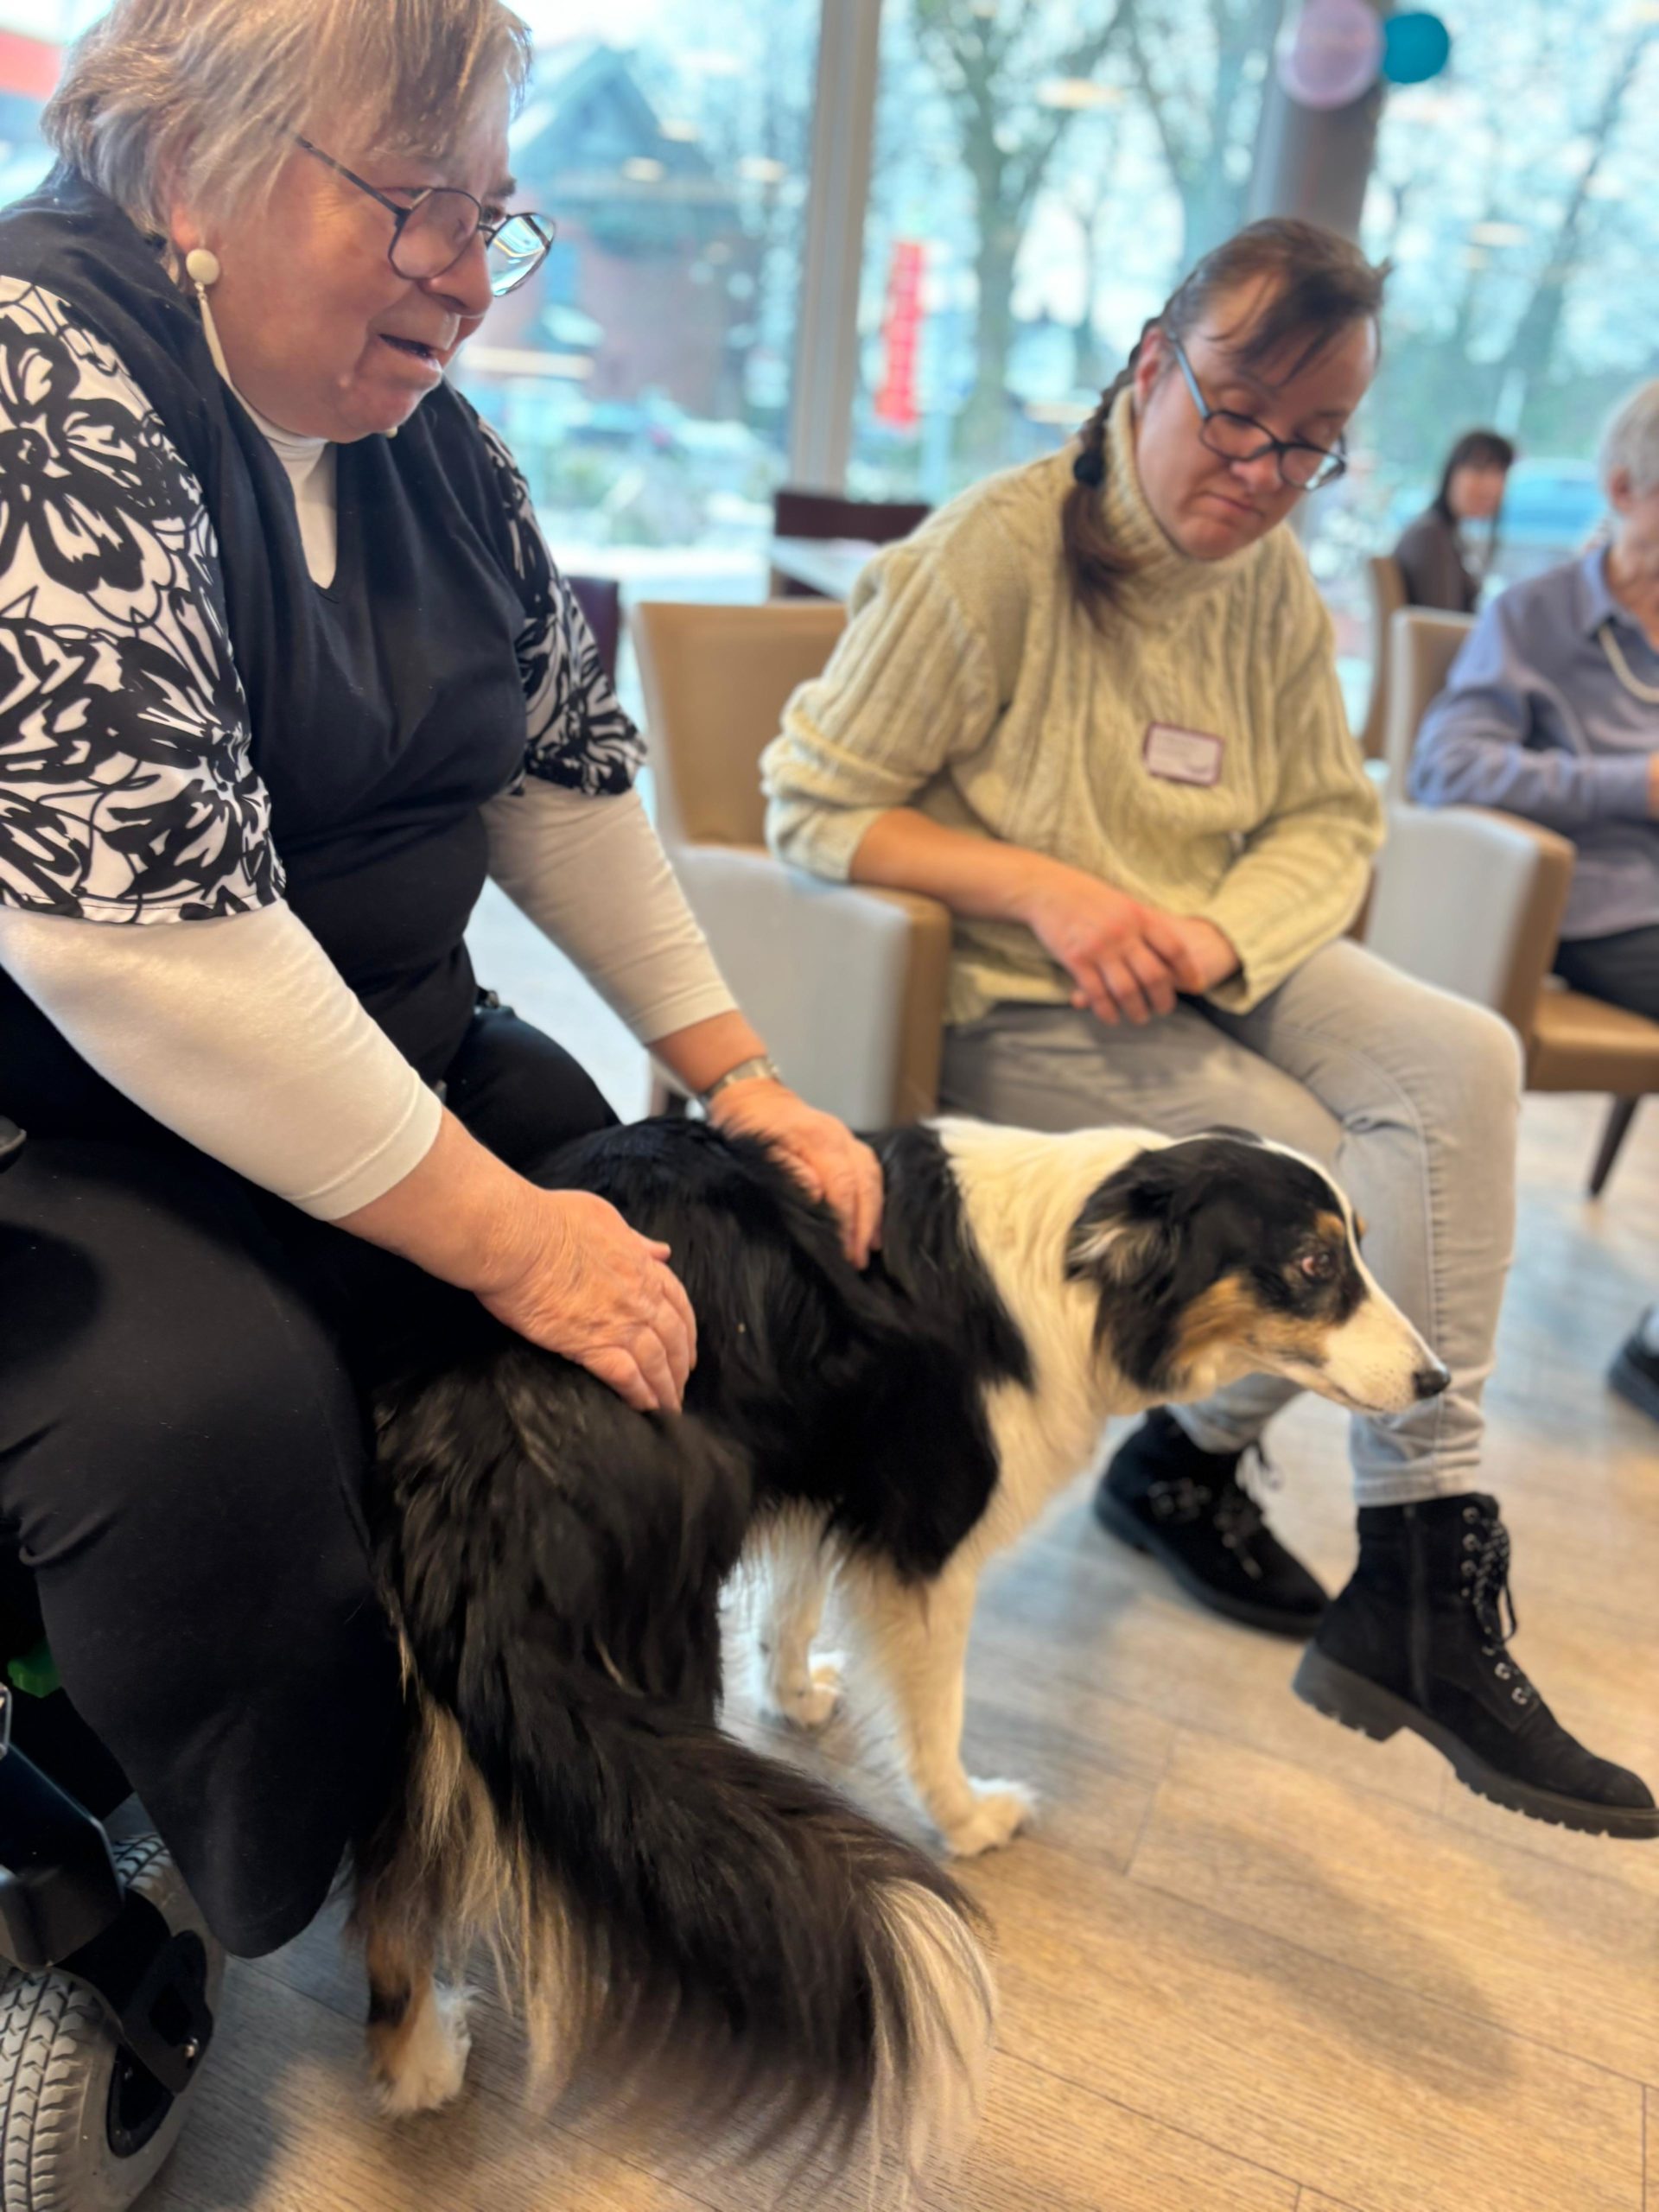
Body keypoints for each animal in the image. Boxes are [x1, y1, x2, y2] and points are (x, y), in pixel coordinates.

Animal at [355, 1114, 1446, 2177]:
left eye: (1356, 1246)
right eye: (1313, 1262)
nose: (1436, 1380)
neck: (1078, 1272)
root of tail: (484, 1447)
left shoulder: (824, 1475)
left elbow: (796, 1598)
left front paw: (795, 1695)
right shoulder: (929, 1545)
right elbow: (935, 1711)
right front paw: (970, 1819)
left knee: (398, 1883)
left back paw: (416, 2062)